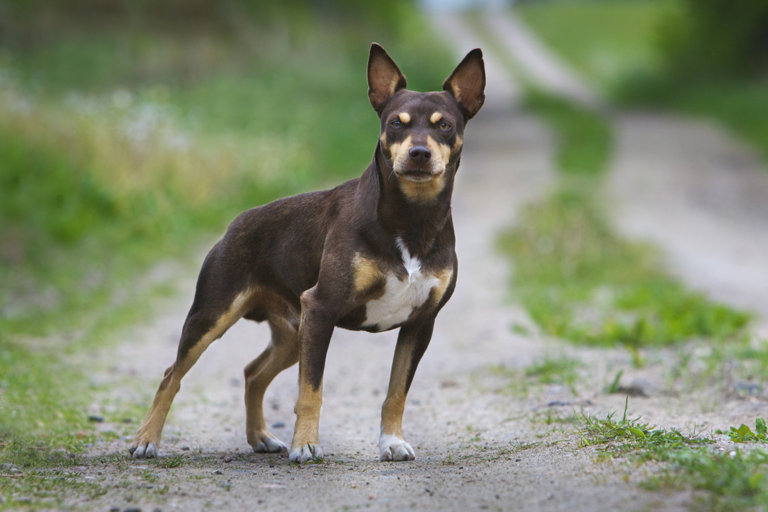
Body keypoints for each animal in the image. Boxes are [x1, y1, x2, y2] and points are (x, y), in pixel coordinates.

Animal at [128, 42, 484, 462]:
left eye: (444, 126)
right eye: (397, 123)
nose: (417, 154)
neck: (411, 219)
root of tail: (236, 223)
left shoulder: (420, 323)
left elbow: (396, 391)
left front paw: (391, 442)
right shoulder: (321, 307)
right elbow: (310, 392)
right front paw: (306, 446)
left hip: (292, 334)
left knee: (253, 373)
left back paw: (261, 438)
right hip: (215, 315)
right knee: (172, 375)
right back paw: (145, 440)